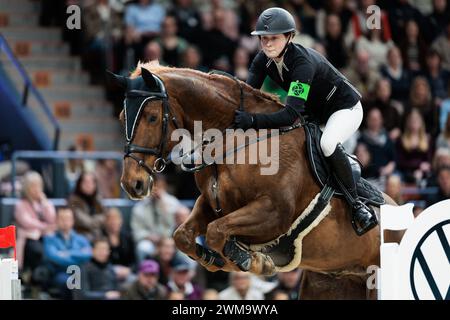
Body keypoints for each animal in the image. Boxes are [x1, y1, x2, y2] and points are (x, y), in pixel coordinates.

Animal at [110, 63, 398, 300]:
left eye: (152, 117)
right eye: (123, 118)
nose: (132, 184)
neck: (232, 139)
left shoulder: (273, 212)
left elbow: (216, 232)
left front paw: (254, 261)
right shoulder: (211, 203)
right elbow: (184, 235)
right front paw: (220, 258)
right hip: (333, 282)